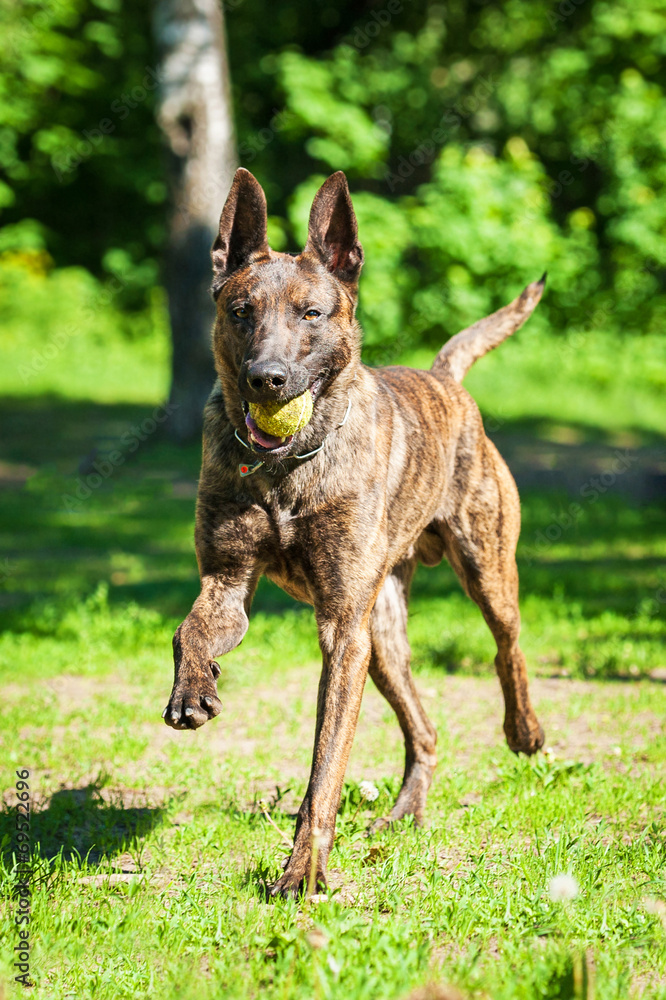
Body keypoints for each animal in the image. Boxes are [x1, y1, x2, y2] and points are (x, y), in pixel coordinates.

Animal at [162, 168, 544, 896]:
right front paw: (193, 690)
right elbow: (188, 630)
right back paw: (404, 815)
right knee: (423, 729)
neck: (287, 468)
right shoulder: (228, 583)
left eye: (311, 313)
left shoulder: (342, 632)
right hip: (384, 639)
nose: (266, 379)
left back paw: (524, 731)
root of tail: (445, 379)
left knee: (508, 647)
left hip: (481, 568)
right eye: (240, 311)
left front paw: (302, 872)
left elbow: (325, 767)